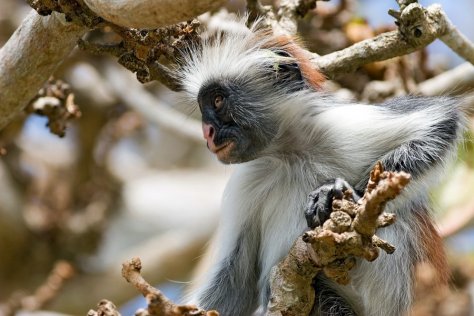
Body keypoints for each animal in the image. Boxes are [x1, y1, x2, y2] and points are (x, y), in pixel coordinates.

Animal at [177, 17, 462, 316]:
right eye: (205, 108)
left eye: (217, 101)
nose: (207, 132)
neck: (291, 155)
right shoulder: (247, 179)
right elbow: (234, 282)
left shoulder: (338, 125)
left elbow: (442, 121)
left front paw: (341, 194)